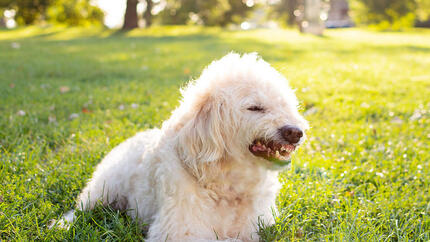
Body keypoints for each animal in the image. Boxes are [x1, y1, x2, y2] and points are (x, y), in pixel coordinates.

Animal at [61, 53, 310, 242]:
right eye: (255, 107)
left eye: (285, 105)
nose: (296, 132)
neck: (226, 186)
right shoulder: (177, 231)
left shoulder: (258, 225)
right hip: (104, 188)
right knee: (80, 209)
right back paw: (62, 225)